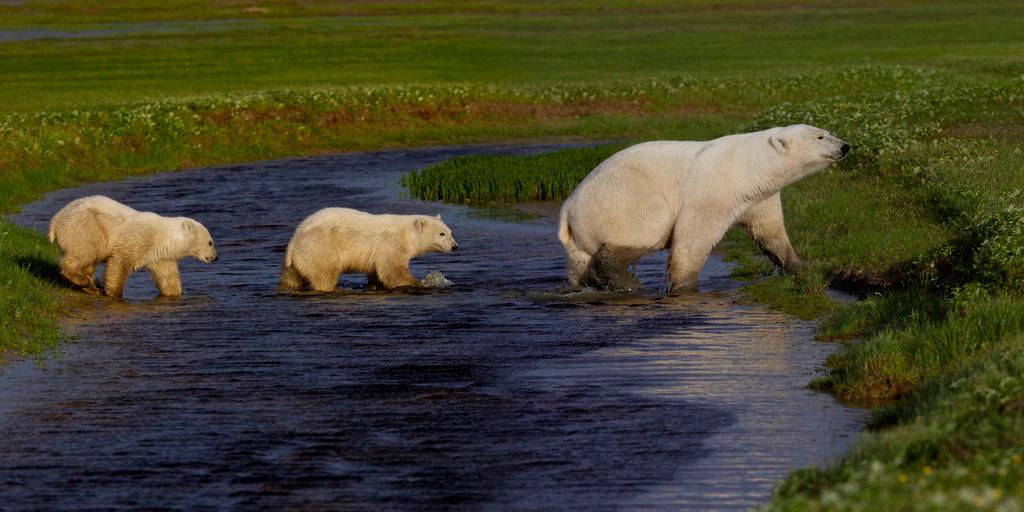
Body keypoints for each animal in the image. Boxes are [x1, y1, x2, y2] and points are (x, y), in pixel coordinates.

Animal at [48, 195, 219, 298]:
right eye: (210, 242)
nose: (216, 258)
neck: (163, 235)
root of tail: (54, 222)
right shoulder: (140, 238)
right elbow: (120, 262)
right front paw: (114, 293)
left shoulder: (161, 256)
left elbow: (167, 276)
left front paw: (175, 293)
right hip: (85, 226)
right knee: (86, 252)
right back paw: (83, 281)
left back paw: (91, 287)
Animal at [278, 208, 458, 292]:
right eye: (441, 233)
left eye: (450, 231)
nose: (455, 246)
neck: (405, 234)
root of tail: (293, 242)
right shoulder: (390, 245)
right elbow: (393, 272)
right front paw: (423, 282)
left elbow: (376, 273)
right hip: (320, 250)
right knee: (324, 276)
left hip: (297, 260)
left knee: (291, 278)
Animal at [557, 124, 849, 293]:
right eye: (820, 136)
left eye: (828, 132)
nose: (845, 146)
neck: (749, 166)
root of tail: (568, 209)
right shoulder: (714, 189)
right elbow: (694, 236)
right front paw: (684, 285)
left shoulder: (759, 197)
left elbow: (771, 232)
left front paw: (804, 266)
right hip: (624, 197)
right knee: (643, 229)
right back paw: (627, 282)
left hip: (578, 237)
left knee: (579, 264)